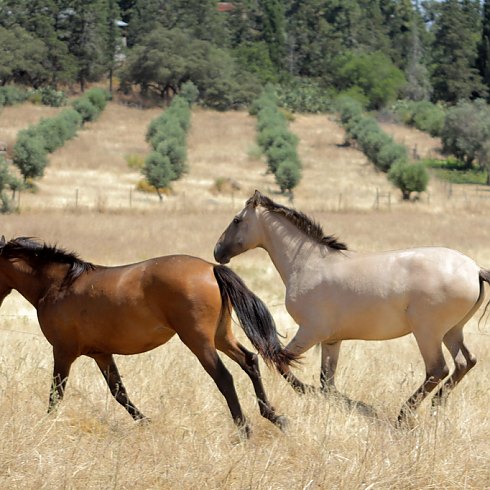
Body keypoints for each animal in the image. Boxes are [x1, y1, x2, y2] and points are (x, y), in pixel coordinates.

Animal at [0, 235, 296, 434]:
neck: (58, 285)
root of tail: (211, 268)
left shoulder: (63, 352)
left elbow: (56, 393)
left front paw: (46, 425)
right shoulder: (101, 354)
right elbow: (119, 391)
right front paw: (146, 422)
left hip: (199, 341)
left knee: (224, 377)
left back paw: (244, 428)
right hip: (221, 336)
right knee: (250, 361)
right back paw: (275, 417)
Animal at [215, 189, 490, 424]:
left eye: (237, 219)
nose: (218, 251)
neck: (308, 264)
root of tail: (474, 268)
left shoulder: (310, 332)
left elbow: (282, 362)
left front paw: (308, 393)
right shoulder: (331, 340)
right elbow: (327, 382)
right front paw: (351, 406)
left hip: (427, 333)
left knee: (437, 370)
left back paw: (404, 415)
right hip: (452, 331)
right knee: (465, 362)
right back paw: (436, 407)